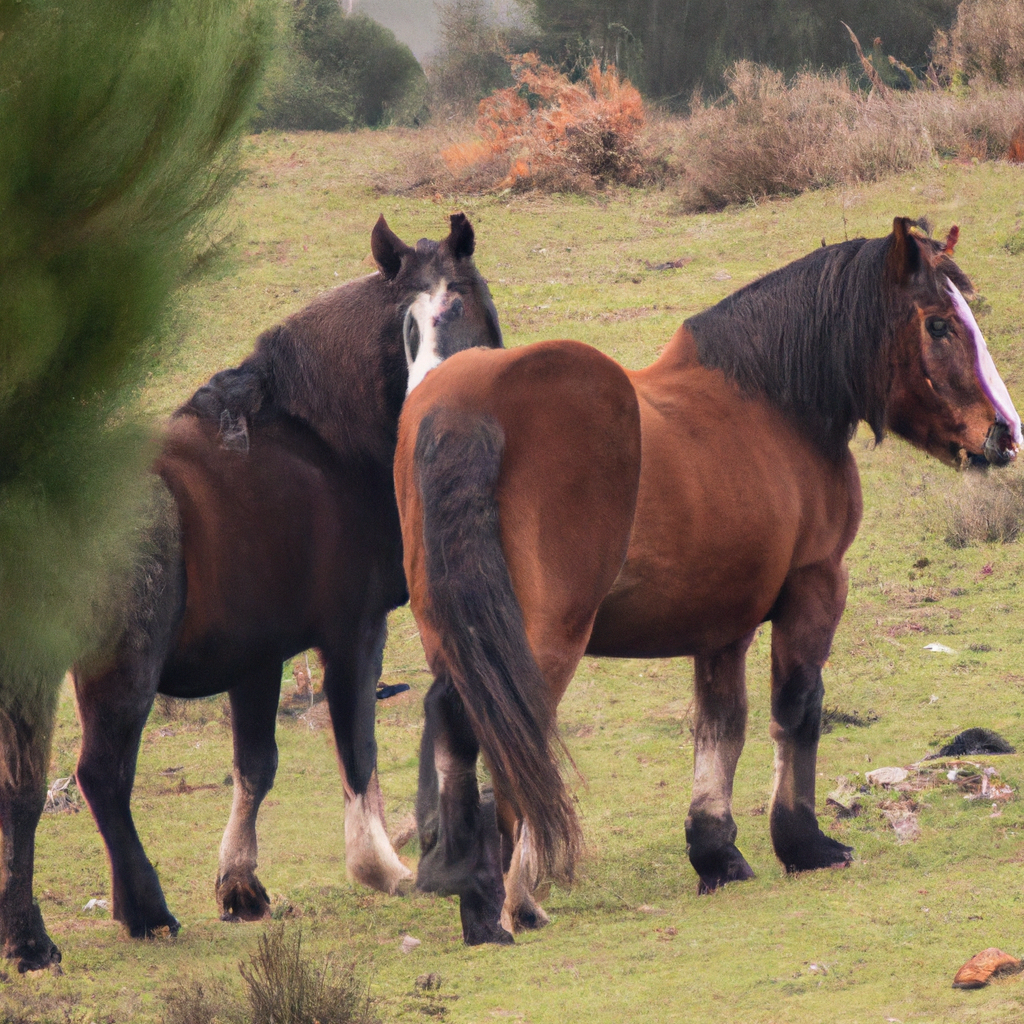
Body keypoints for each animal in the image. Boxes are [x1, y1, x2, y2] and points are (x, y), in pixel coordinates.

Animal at [72, 211, 503, 937]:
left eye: (461, 300)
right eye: (406, 323)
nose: (431, 401)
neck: (324, 441)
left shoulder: (254, 656)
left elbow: (256, 767)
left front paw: (240, 886)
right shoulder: (353, 632)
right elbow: (357, 749)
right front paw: (381, 868)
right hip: (121, 675)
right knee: (103, 776)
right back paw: (145, 910)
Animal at [389, 218, 1015, 942]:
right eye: (939, 323)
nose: (1004, 434)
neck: (772, 401)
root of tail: (464, 407)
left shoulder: (722, 627)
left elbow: (721, 728)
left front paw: (716, 852)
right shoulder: (815, 586)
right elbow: (796, 710)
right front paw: (804, 844)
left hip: (453, 638)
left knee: (455, 730)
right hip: (539, 643)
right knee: (501, 734)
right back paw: (509, 902)